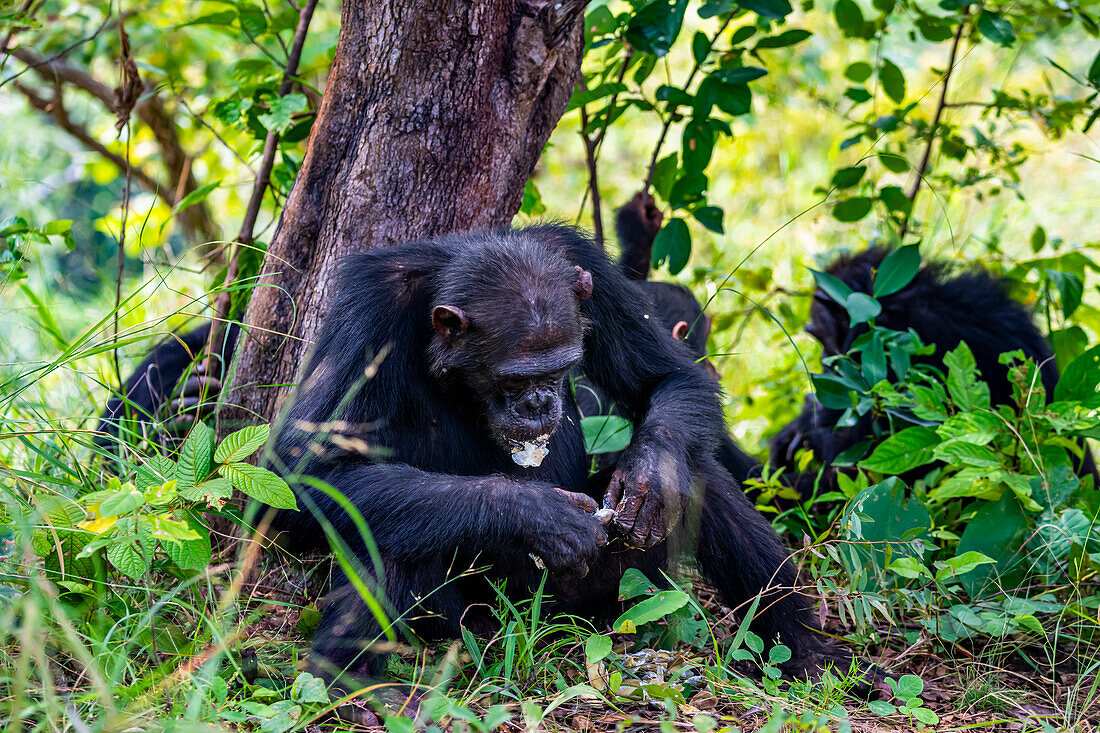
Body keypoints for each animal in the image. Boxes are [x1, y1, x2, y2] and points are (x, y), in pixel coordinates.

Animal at [261, 222, 853, 686]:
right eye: (515, 379)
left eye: (559, 369)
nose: (540, 401)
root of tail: (544, 630)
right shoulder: (369, 309)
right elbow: (304, 468)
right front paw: (537, 514)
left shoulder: (587, 267)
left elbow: (668, 377)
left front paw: (648, 481)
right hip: (472, 619)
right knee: (392, 517)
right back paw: (351, 685)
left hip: (615, 599)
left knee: (701, 472)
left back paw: (808, 652)